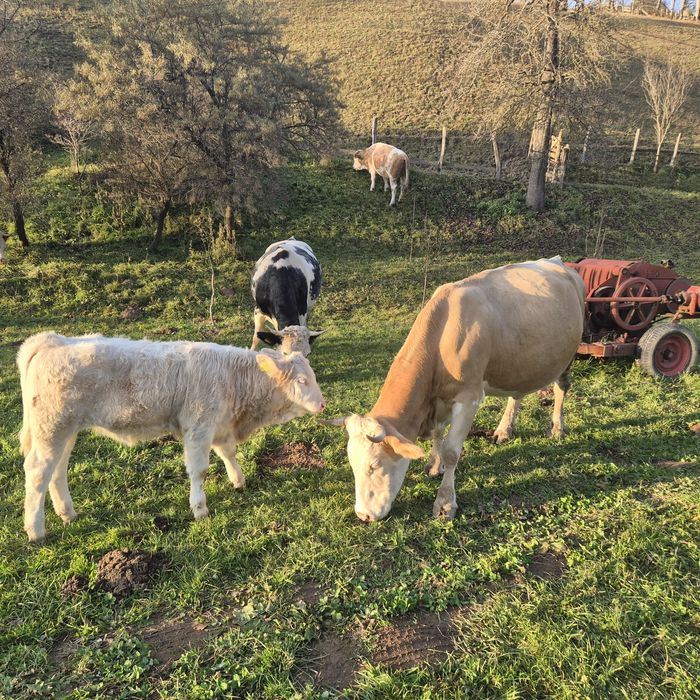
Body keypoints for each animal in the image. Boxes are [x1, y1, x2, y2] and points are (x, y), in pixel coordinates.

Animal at [17, 332, 326, 542]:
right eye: (302, 381)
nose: (323, 404)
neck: (233, 379)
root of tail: (53, 340)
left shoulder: (219, 425)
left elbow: (228, 452)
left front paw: (238, 481)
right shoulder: (198, 427)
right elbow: (199, 470)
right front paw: (199, 508)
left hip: (65, 431)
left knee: (57, 471)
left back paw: (67, 513)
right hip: (52, 428)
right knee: (37, 471)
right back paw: (35, 530)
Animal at [326, 257, 585, 523]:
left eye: (374, 466)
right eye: (352, 465)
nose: (363, 515)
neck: (442, 337)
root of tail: (557, 262)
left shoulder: (469, 398)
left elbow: (452, 451)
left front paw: (445, 503)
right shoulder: (439, 400)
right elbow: (439, 434)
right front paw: (434, 465)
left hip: (569, 355)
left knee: (561, 388)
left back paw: (557, 428)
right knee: (516, 395)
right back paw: (505, 429)